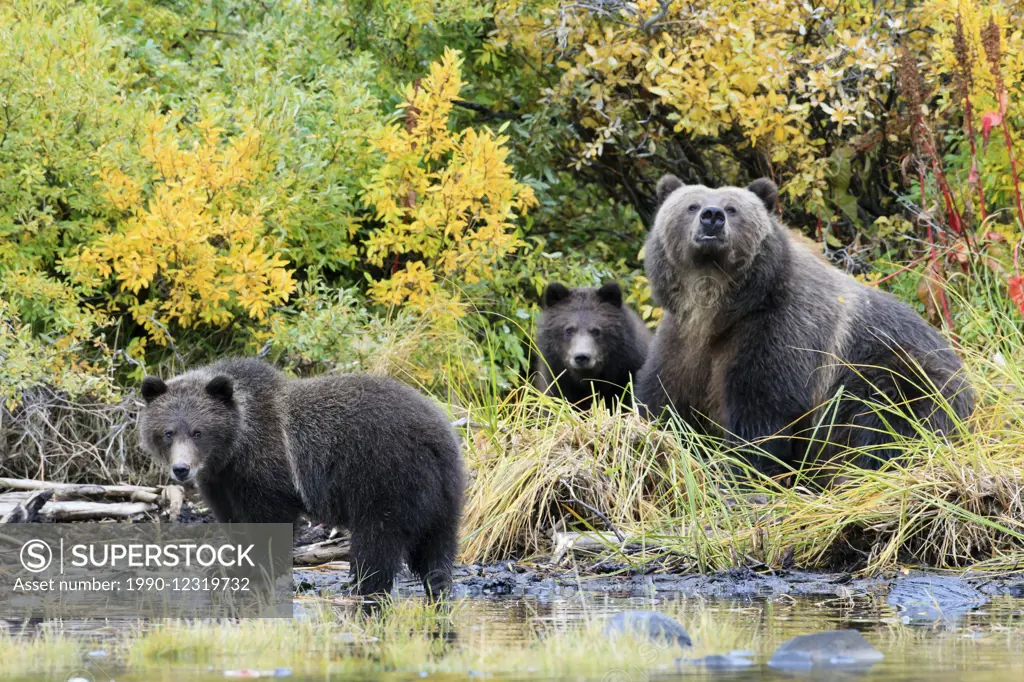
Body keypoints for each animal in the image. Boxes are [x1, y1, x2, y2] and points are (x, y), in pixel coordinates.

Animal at [139, 356, 464, 593]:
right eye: (168, 432)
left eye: (198, 432)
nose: (182, 469)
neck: (235, 448)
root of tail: (438, 436)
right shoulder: (222, 482)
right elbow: (235, 522)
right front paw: (232, 566)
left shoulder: (268, 473)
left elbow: (270, 521)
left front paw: (261, 567)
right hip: (443, 493)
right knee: (436, 545)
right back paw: (438, 585)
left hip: (386, 478)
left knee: (378, 542)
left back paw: (363, 585)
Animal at [638, 176, 974, 473]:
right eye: (691, 205)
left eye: (733, 208)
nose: (712, 217)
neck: (717, 308)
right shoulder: (683, 340)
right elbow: (663, 397)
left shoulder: (780, 330)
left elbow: (762, 415)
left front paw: (744, 470)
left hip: (900, 371)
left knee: (888, 419)